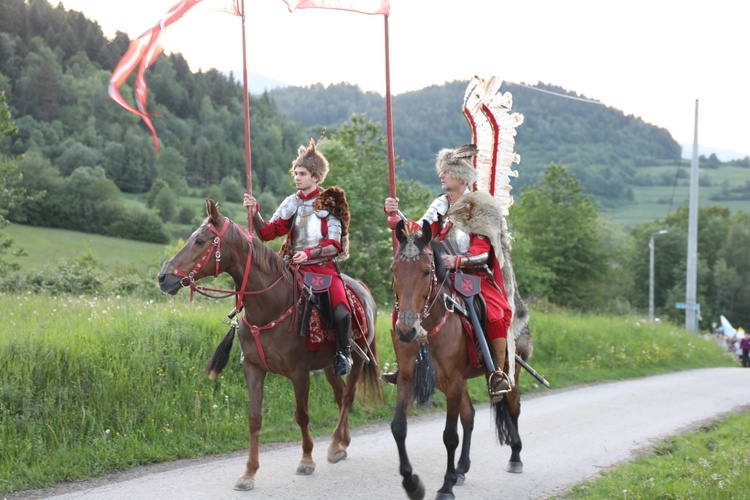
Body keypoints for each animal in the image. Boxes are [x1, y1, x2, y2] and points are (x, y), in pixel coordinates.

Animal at [158, 197, 382, 490]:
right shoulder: (253, 369)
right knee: (339, 393)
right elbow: (254, 418)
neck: (271, 305)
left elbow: (302, 415)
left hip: (356, 357)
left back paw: (334, 445)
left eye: (199, 240)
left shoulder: (299, 374)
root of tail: (364, 291)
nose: (163, 278)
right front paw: (248, 472)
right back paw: (342, 443)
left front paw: (306, 460)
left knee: (348, 395)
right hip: (328, 366)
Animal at [390, 220, 532, 500]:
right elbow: (399, 427)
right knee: (469, 416)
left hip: (508, 372)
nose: (405, 331)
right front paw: (412, 483)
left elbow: (449, 436)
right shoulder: (409, 378)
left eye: (426, 272)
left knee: (513, 409)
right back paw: (462, 468)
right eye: (394, 270)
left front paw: (446, 486)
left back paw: (515, 457)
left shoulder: (453, 381)